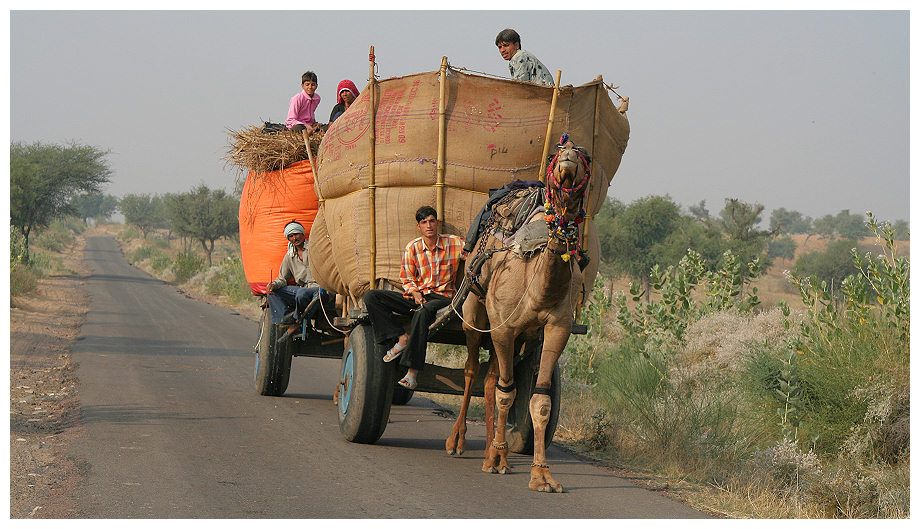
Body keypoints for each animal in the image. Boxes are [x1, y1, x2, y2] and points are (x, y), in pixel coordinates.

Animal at [444, 136, 588, 490]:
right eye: (555, 156)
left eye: (585, 157)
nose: (568, 157)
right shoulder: (502, 327)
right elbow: (506, 395)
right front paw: (497, 460)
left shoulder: (556, 329)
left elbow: (539, 400)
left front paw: (541, 475)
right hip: (474, 313)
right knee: (472, 371)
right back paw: (458, 442)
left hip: (516, 334)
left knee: (492, 379)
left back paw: (492, 449)